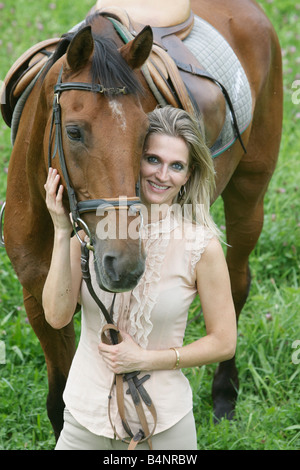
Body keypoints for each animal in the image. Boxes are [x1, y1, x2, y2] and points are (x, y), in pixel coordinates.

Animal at [2, 0, 282, 440]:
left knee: (236, 285)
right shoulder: (38, 300)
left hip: (250, 193)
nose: (125, 264)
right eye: (74, 132)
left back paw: (225, 393)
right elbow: (59, 402)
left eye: (145, 135)